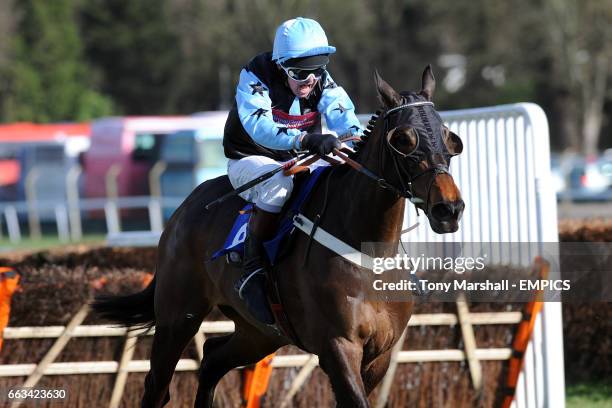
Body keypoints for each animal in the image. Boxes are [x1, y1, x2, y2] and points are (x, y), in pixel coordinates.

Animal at [92, 65, 464, 406]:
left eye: (448, 136)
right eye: (403, 139)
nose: (449, 208)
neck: (367, 252)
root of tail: (183, 210)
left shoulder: (380, 354)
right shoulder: (338, 347)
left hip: (259, 332)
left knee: (212, 360)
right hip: (178, 316)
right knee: (158, 385)